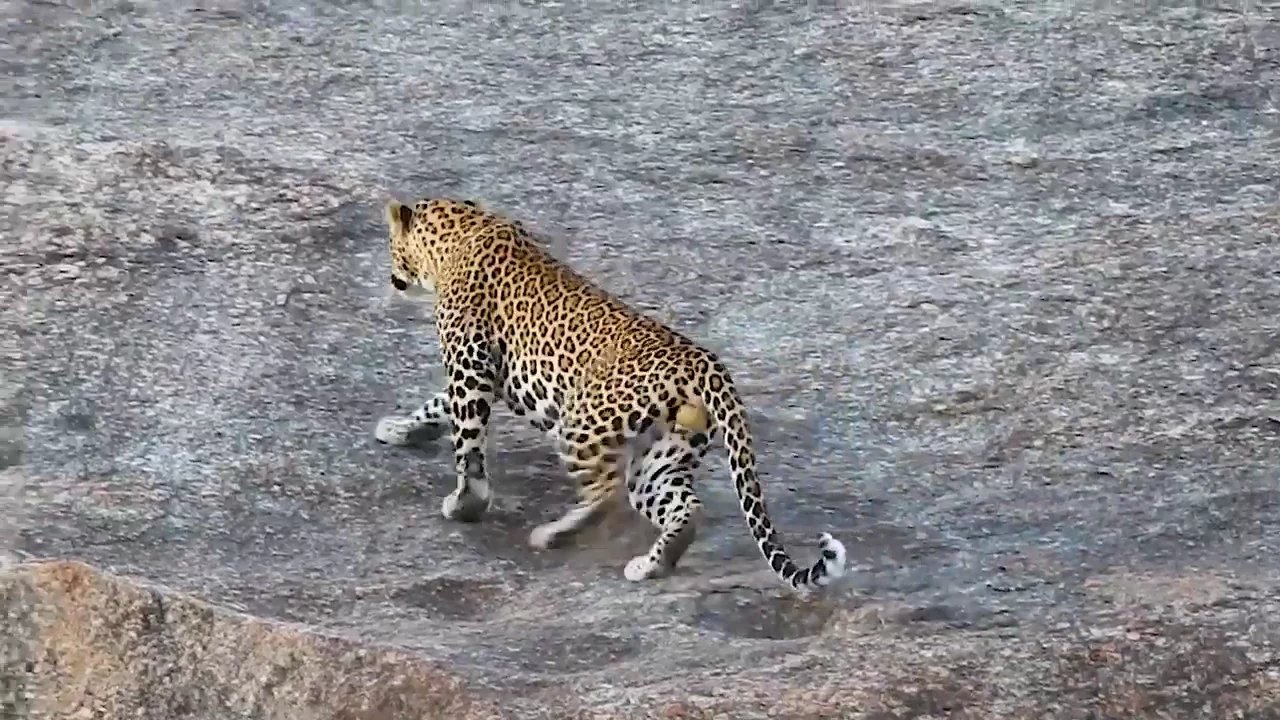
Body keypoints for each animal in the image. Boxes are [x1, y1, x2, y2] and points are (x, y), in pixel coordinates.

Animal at [373, 196, 847, 597]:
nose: (392, 279)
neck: (464, 230)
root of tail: (706, 364)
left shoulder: (470, 366)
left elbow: (467, 443)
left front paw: (465, 504)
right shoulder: (484, 374)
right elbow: (437, 405)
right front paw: (399, 428)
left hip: (581, 426)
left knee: (607, 494)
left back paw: (554, 534)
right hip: (665, 454)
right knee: (683, 507)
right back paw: (651, 565)